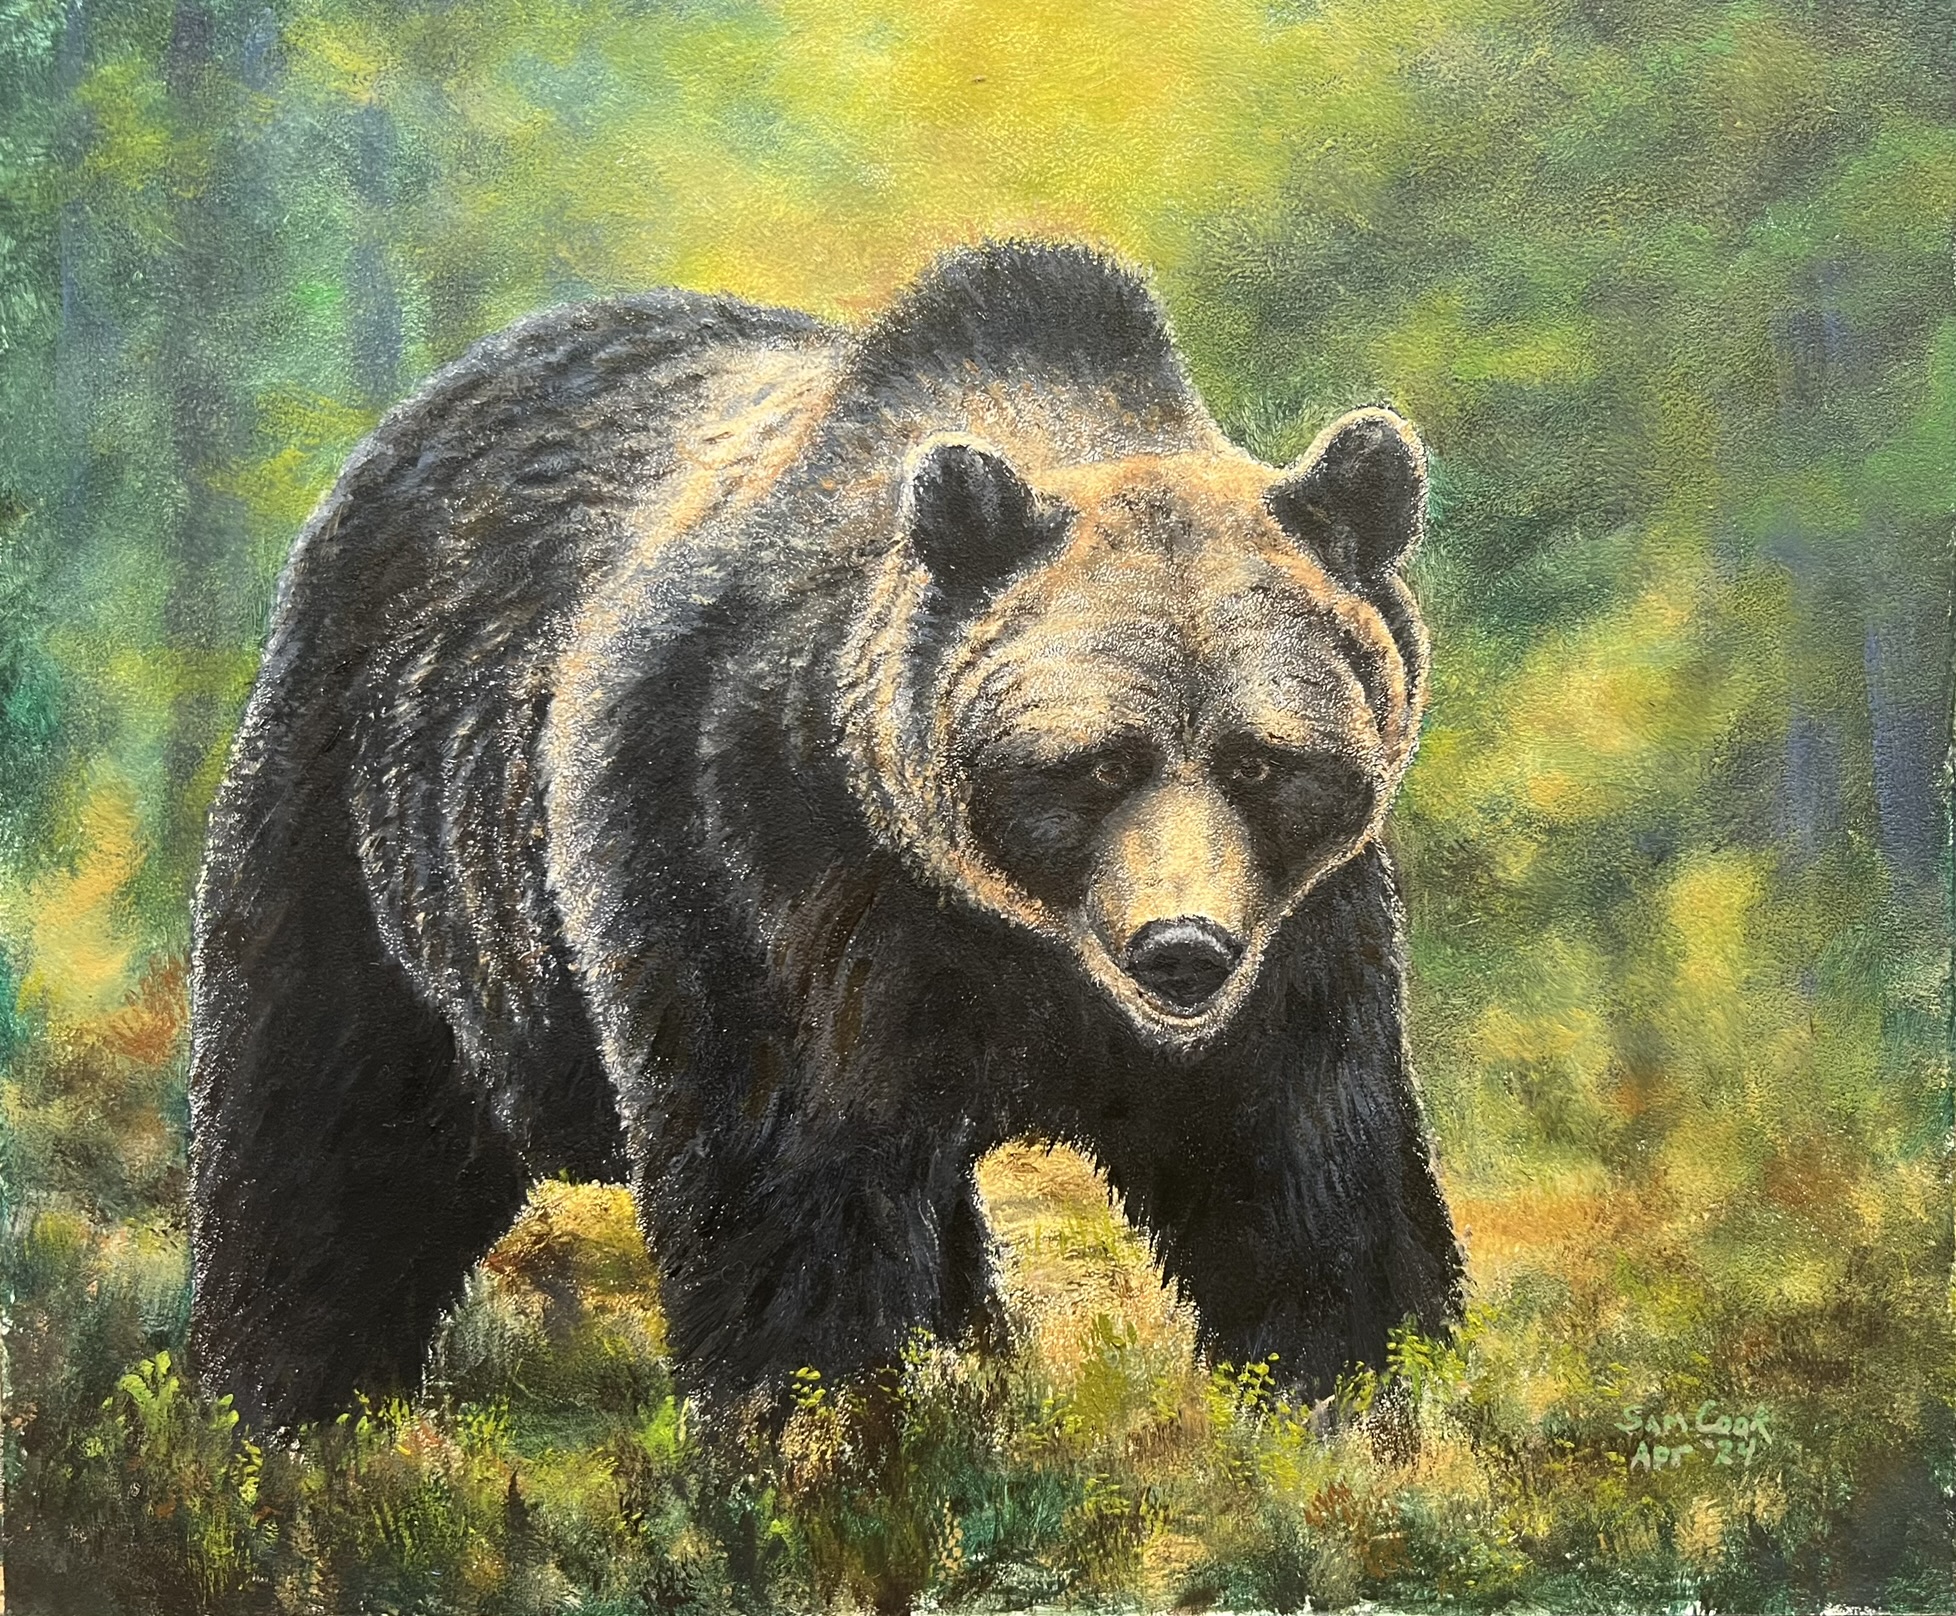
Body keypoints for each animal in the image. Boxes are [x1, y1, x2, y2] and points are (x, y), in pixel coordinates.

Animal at [189, 240, 1463, 1430]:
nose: (1183, 946)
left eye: (1259, 758)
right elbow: (785, 1171)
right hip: (382, 822)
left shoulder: (1300, 936)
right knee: (327, 1128)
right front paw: (809, 1417)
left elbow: (1304, 1175)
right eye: (1102, 761)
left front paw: (1352, 1394)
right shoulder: (756, 855)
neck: (1007, 922)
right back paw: (284, 1403)